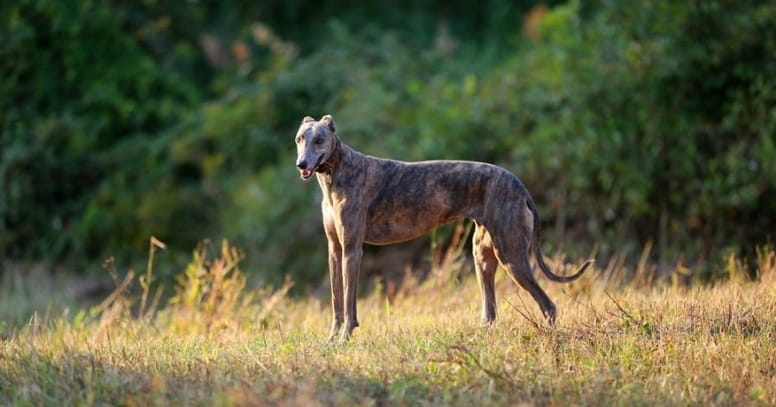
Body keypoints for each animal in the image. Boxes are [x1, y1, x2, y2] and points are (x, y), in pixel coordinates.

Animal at [294, 115, 592, 344]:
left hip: (511, 255)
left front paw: (343, 340)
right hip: (482, 255)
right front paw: (331, 340)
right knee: (490, 311)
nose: (301, 164)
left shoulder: (352, 250)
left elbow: (348, 303)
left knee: (548, 305)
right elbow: (337, 301)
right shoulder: (335, 250)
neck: (337, 171)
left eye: (319, 140)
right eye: (299, 139)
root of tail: (520, 186)